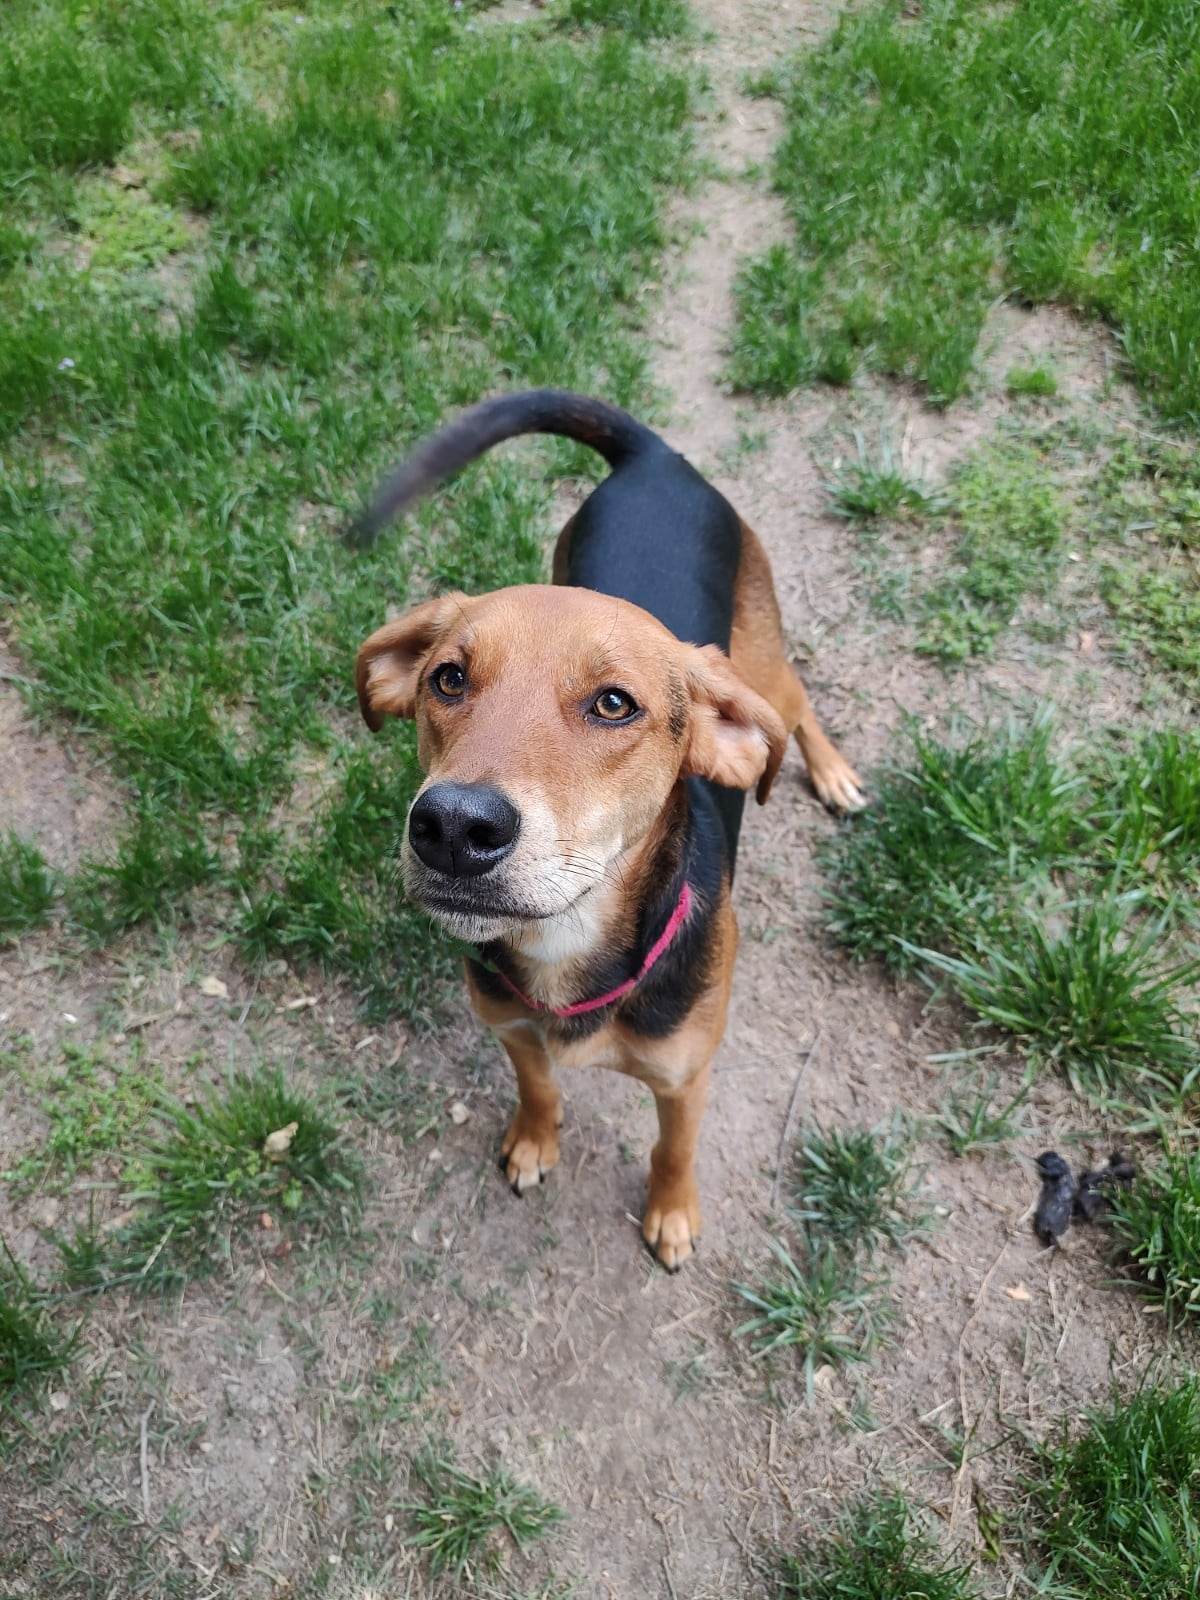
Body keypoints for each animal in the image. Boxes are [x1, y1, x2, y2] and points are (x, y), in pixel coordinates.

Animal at [350, 387, 864, 1260]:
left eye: (615, 703)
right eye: (447, 679)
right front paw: (534, 1141)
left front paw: (673, 1215)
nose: (451, 827)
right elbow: (537, 1088)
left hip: (763, 659)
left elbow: (673, 1149)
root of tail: (654, 455)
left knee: (798, 708)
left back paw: (832, 772)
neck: (569, 939)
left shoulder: (686, 1078)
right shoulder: (513, 1030)